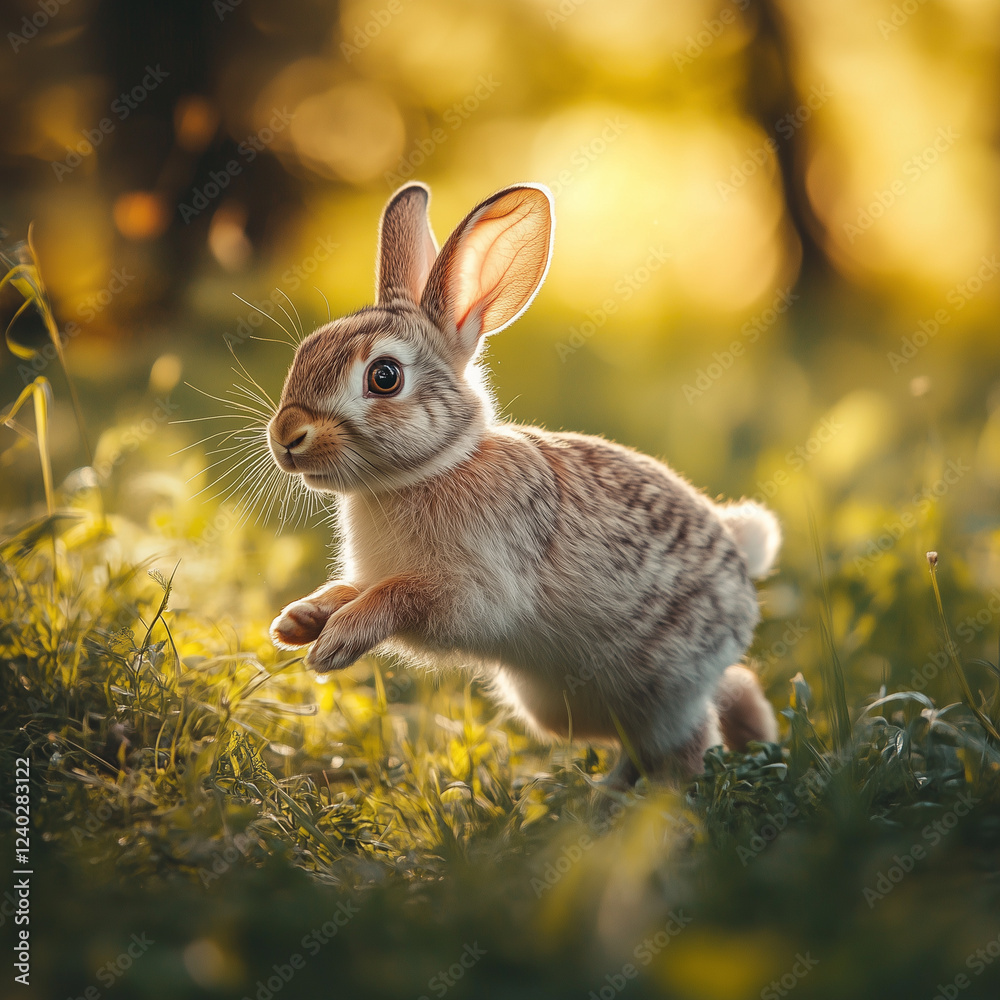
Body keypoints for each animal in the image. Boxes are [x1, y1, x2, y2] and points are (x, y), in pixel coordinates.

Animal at [266, 181, 780, 787]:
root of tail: (740, 552)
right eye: (305, 350)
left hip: (664, 687)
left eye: (384, 377)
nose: (285, 436)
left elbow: (397, 597)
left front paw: (336, 643)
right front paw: (299, 622)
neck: (432, 469)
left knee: (691, 737)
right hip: (562, 705)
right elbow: (352, 590)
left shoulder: (471, 591)